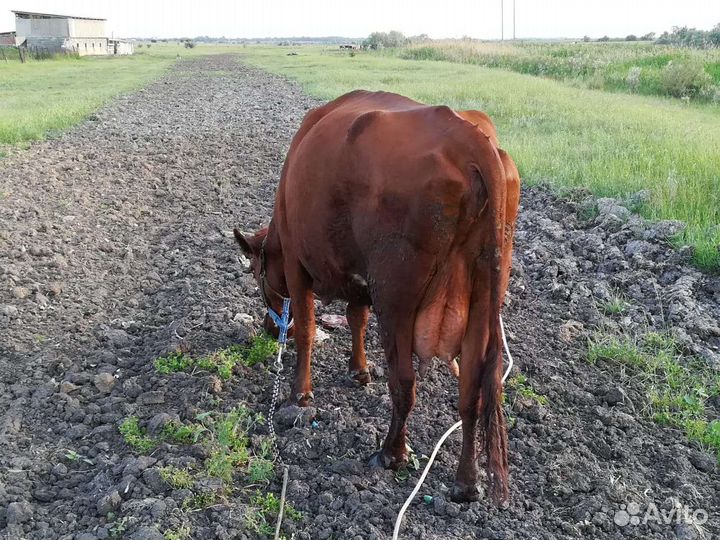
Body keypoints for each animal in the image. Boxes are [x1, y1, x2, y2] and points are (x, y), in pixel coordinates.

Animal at [234, 90, 520, 502]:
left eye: (258, 277)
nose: (270, 331)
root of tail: (467, 137)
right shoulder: (360, 280)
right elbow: (356, 319)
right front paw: (359, 371)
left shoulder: (297, 265)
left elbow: (307, 331)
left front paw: (299, 396)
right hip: (483, 302)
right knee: (472, 391)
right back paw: (466, 482)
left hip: (396, 297)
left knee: (404, 382)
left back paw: (391, 453)